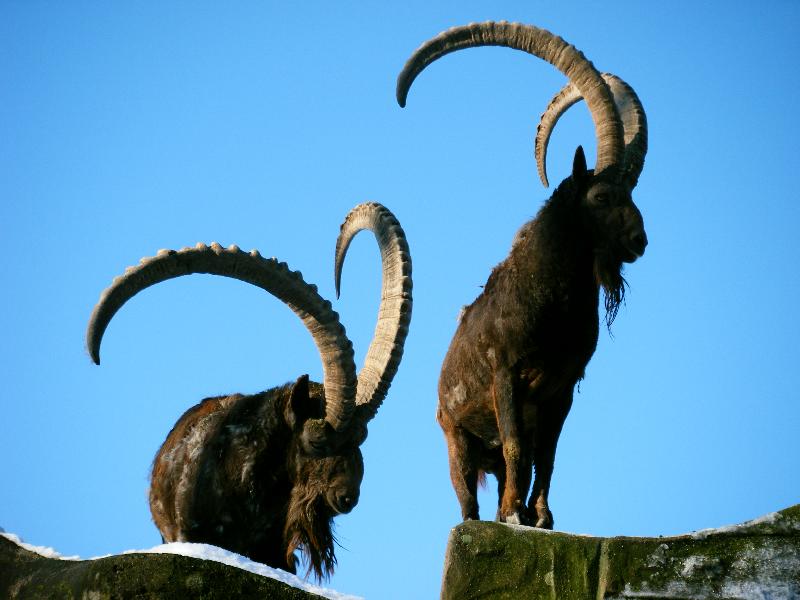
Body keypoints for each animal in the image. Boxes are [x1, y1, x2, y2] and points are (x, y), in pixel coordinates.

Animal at [397, 21, 648, 528]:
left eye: (631, 193)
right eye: (600, 197)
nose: (639, 241)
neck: (552, 301)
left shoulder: (563, 389)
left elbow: (546, 457)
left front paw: (542, 518)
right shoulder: (506, 374)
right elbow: (516, 445)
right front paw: (516, 514)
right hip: (457, 442)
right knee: (468, 498)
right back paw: (484, 517)